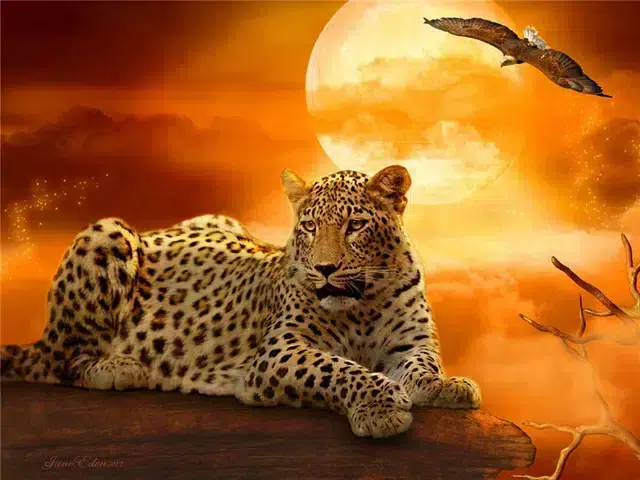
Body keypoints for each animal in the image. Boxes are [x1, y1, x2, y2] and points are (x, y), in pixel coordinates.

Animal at [1, 165, 481, 438]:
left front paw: (445, 385)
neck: (362, 303)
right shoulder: (280, 352)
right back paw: (118, 367)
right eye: (309, 227)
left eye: (356, 225)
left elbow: (422, 366)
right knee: (61, 359)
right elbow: (336, 367)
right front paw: (380, 405)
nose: (324, 269)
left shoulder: (409, 344)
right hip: (107, 233)